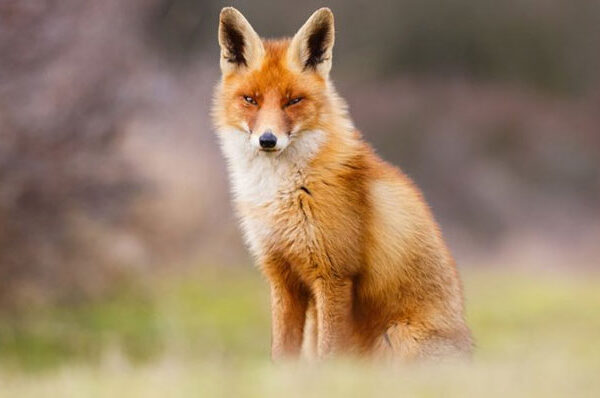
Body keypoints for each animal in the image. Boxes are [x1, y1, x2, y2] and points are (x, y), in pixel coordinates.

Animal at [213, 6, 472, 362]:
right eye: (250, 99)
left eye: (293, 101)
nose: (268, 140)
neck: (284, 192)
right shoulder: (282, 277)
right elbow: (282, 354)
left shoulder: (334, 275)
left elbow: (329, 355)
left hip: (398, 336)